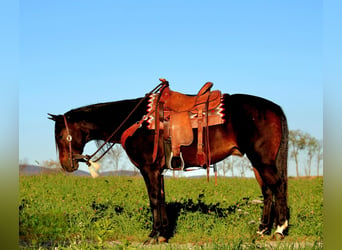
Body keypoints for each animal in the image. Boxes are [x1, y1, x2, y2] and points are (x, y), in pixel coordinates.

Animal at [48, 79, 288, 242]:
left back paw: (279, 230)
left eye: (61, 135)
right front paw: (163, 233)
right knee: (268, 191)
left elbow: (154, 199)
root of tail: (274, 108)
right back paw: (262, 229)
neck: (137, 120)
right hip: (258, 163)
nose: (66, 165)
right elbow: (161, 198)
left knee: (278, 188)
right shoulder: (158, 170)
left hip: (263, 161)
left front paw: (153, 235)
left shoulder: (149, 169)